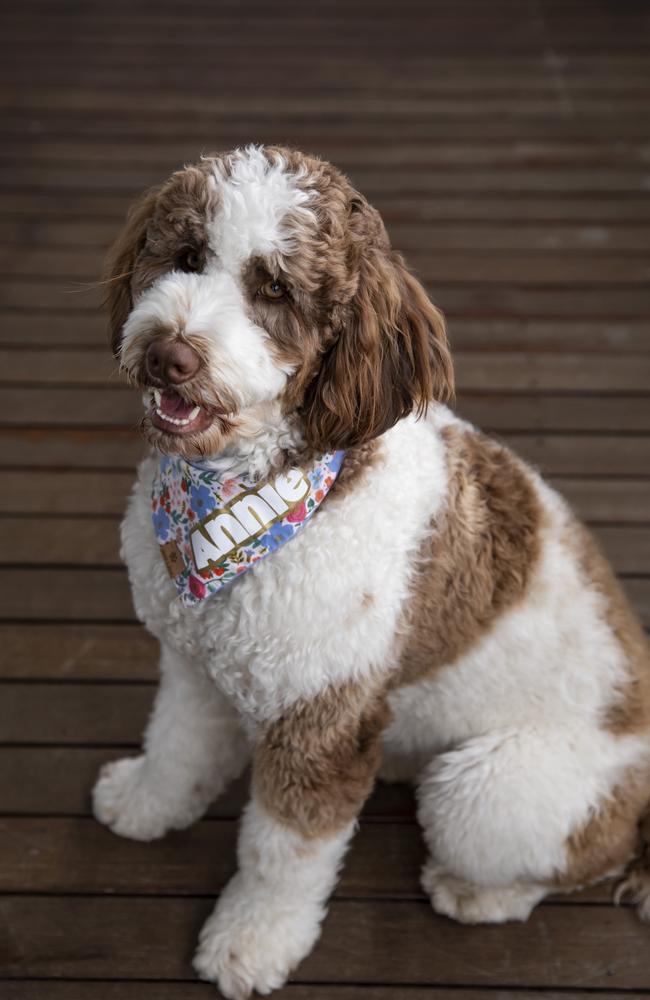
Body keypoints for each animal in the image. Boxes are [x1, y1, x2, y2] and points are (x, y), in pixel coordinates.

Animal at [91, 145, 648, 996]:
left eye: (275, 289)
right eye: (185, 255)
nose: (168, 353)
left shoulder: (319, 722)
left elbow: (282, 854)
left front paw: (251, 943)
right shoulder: (192, 663)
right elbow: (178, 746)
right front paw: (148, 806)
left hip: (486, 794)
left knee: (579, 858)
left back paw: (479, 892)